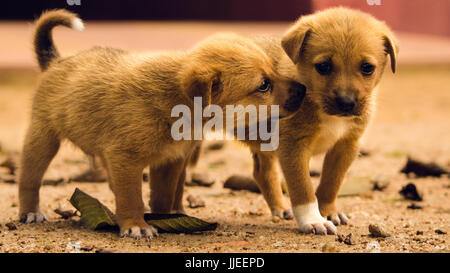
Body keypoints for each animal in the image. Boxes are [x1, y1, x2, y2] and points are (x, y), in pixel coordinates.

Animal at [18, 9, 306, 237]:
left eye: (274, 69)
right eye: (264, 85)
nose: (304, 89)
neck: (176, 103)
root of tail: (55, 61)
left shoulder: (169, 161)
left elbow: (162, 196)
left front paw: (164, 218)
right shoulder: (125, 159)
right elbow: (131, 195)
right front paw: (136, 225)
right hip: (42, 139)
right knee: (29, 179)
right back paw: (30, 212)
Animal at [248, 7, 400, 234]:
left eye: (367, 67)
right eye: (323, 67)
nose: (346, 102)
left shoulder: (346, 146)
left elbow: (331, 183)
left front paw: (328, 212)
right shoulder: (293, 146)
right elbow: (303, 188)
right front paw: (312, 220)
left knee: (262, 172)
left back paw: (280, 208)